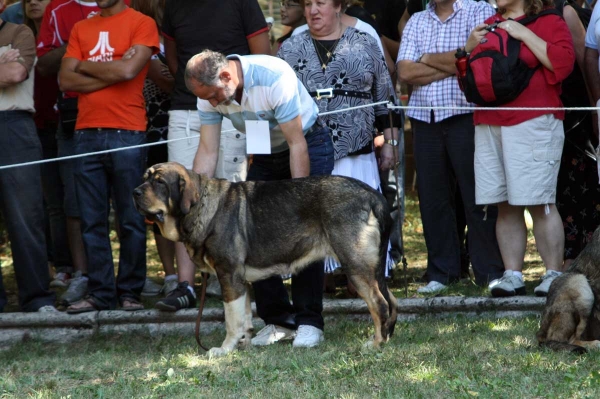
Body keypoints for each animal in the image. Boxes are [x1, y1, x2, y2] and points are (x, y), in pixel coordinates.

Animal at [133, 162, 396, 356]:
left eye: (159, 182)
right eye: (145, 178)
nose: (135, 192)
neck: (202, 207)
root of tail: (373, 195)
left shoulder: (229, 276)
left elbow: (231, 320)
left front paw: (224, 350)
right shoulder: (241, 282)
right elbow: (244, 318)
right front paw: (244, 346)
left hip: (356, 265)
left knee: (379, 304)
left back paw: (376, 344)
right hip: (371, 269)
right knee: (391, 301)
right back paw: (388, 337)